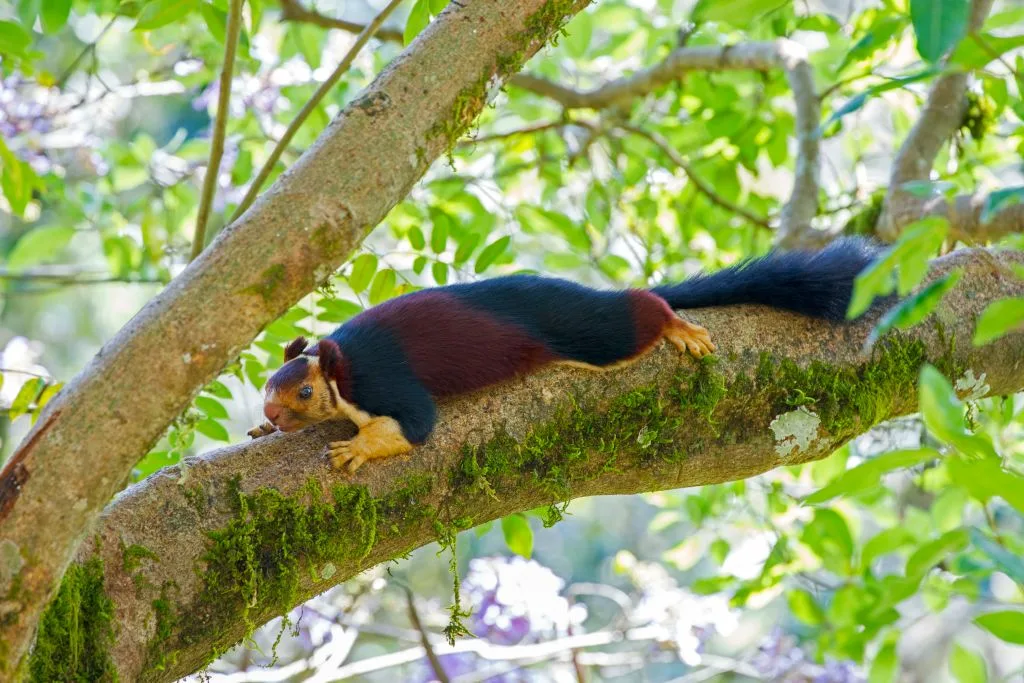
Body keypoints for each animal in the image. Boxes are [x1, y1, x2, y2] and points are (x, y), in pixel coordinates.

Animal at [248, 237, 879, 473]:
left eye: (305, 390)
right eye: (267, 387)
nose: (273, 412)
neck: (342, 368)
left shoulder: (383, 381)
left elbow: (416, 427)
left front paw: (356, 448)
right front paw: (261, 432)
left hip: (586, 330)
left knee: (632, 314)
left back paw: (674, 323)